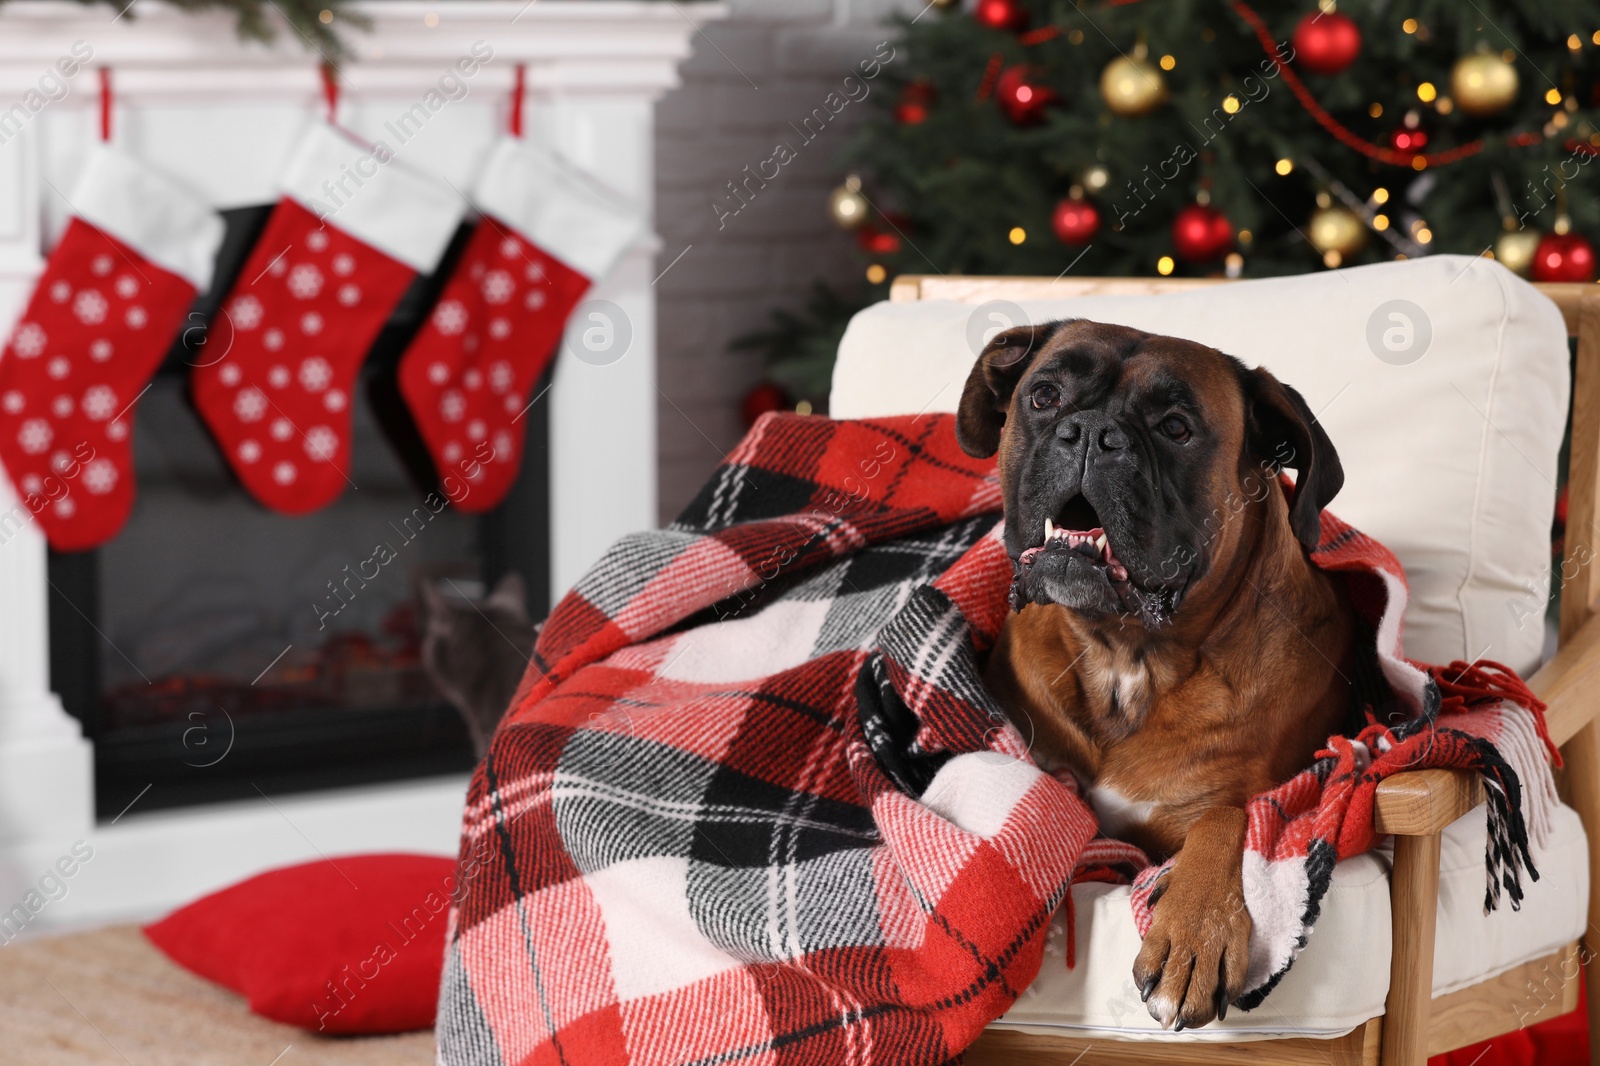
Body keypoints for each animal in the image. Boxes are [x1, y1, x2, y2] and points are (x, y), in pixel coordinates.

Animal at [953, 316, 1356, 1030]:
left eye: (1175, 427)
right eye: (1044, 396)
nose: (1090, 432)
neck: (1126, 656)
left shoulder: (1238, 802)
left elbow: (1228, 819)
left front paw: (1195, 931)